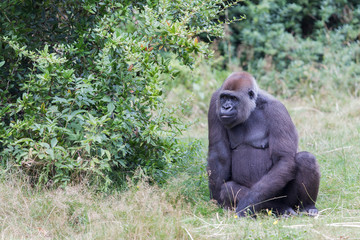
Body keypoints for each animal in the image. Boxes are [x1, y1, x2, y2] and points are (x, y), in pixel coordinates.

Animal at [208, 71, 320, 218]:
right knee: (229, 188)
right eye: (224, 97)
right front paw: (216, 199)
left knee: (306, 159)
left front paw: (246, 204)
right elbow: (219, 154)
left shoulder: (277, 109)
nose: (226, 107)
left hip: (288, 199)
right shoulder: (214, 100)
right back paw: (280, 208)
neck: (252, 105)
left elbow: (283, 159)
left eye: (233, 98)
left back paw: (307, 206)